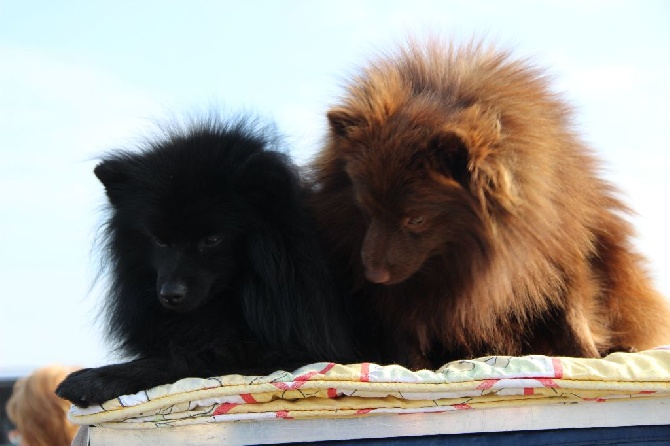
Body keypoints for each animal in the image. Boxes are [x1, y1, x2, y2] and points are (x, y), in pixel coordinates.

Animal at [56, 116, 356, 408]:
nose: (170, 294)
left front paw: (96, 379)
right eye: (159, 240)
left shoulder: (287, 350)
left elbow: (187, 357)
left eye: (212, 239)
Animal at [308, 39, 670, 370]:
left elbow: (572, 312)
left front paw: (593, 355)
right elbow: (407, 328)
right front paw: (415, 367)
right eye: (365, 211)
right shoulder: (406, 292)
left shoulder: (558, 252)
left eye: (416, 219)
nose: (373, 274)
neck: (462, 257)